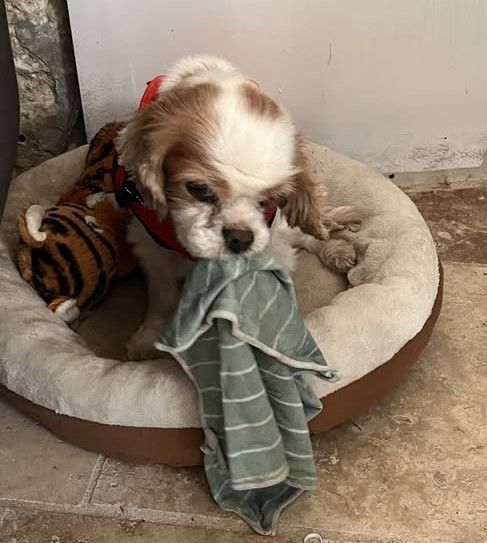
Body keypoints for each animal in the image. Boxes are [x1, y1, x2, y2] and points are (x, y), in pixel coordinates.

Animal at [117, 56, 356, 359]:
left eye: (267, 201)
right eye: (198, 189)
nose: (240, 237)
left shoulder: (272, 242)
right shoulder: (149, 246)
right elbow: (162, 297)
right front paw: (148, 339)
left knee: (306, 237)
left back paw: (336, 250)